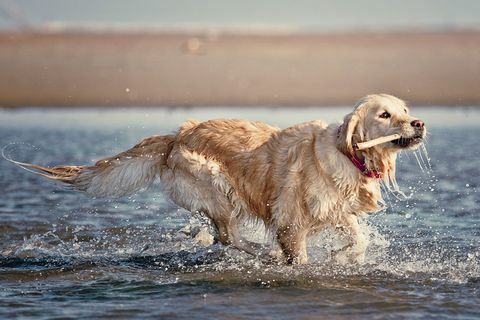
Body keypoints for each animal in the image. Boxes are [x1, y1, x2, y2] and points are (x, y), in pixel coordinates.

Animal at [7, 94, 426, 264]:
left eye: (406, 110)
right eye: (385, 115)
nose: (419, 123)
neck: (348, 153)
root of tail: (176, 136)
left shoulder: (338, 210)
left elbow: (358, 239)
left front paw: (342, 258)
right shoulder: (291, 222)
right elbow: (300, 254)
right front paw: (301, 265)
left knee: (224, 237)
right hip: (216, 186)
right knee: (227, 237)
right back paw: (264, 253)